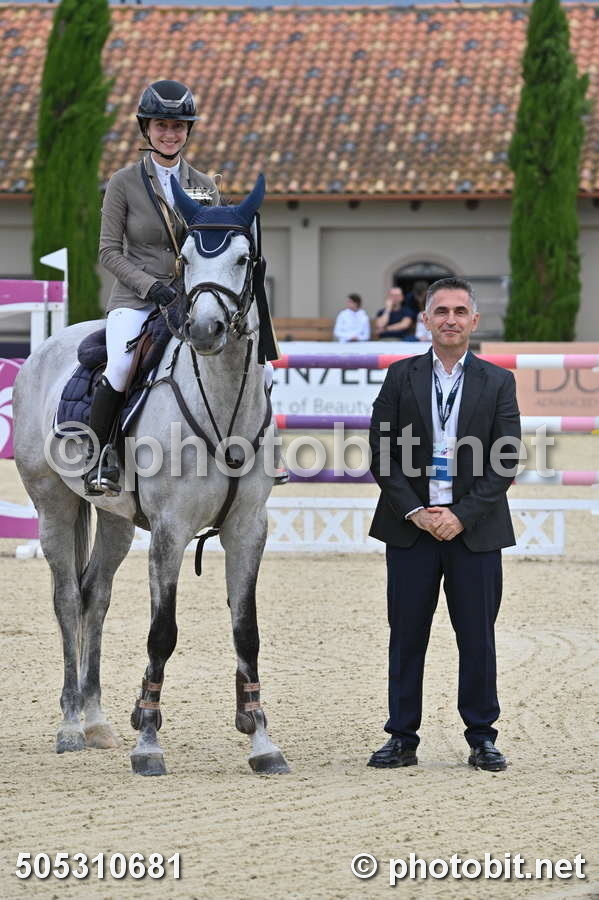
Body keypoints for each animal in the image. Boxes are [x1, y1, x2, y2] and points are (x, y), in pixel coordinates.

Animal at [13, 174, 290, 777]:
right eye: (186, 260)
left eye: (242, 258)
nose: (205, 329)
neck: (223, 404)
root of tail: (45, 349)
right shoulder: (169, 531)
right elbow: (163, 633)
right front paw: (149, 743)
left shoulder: (248, 529)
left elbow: (248, 632)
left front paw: (261, 740)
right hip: (53, 505)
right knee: (66, 599)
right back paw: (71, 725)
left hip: (116, 520)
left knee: (94, 595)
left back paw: (97, 722)